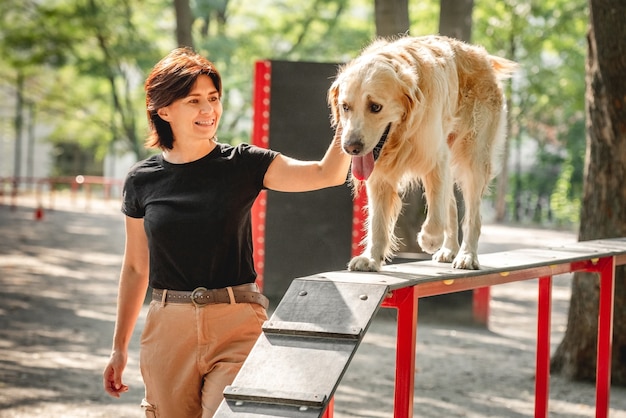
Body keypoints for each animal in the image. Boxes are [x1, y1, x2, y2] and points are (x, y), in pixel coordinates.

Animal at [330, 35, 516, 272]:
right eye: (345, 106)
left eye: (375, 107)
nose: (350, 147)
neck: (403, 133)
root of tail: (481, 54)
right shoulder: (380, 174)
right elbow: (378, 222)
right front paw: (371, 258)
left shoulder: (435, 157)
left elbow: (436, 215)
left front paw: (430, 239)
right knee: (451, 205)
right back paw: (449, 250)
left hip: (473, 157)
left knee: (472, 215)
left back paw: (466, 256)